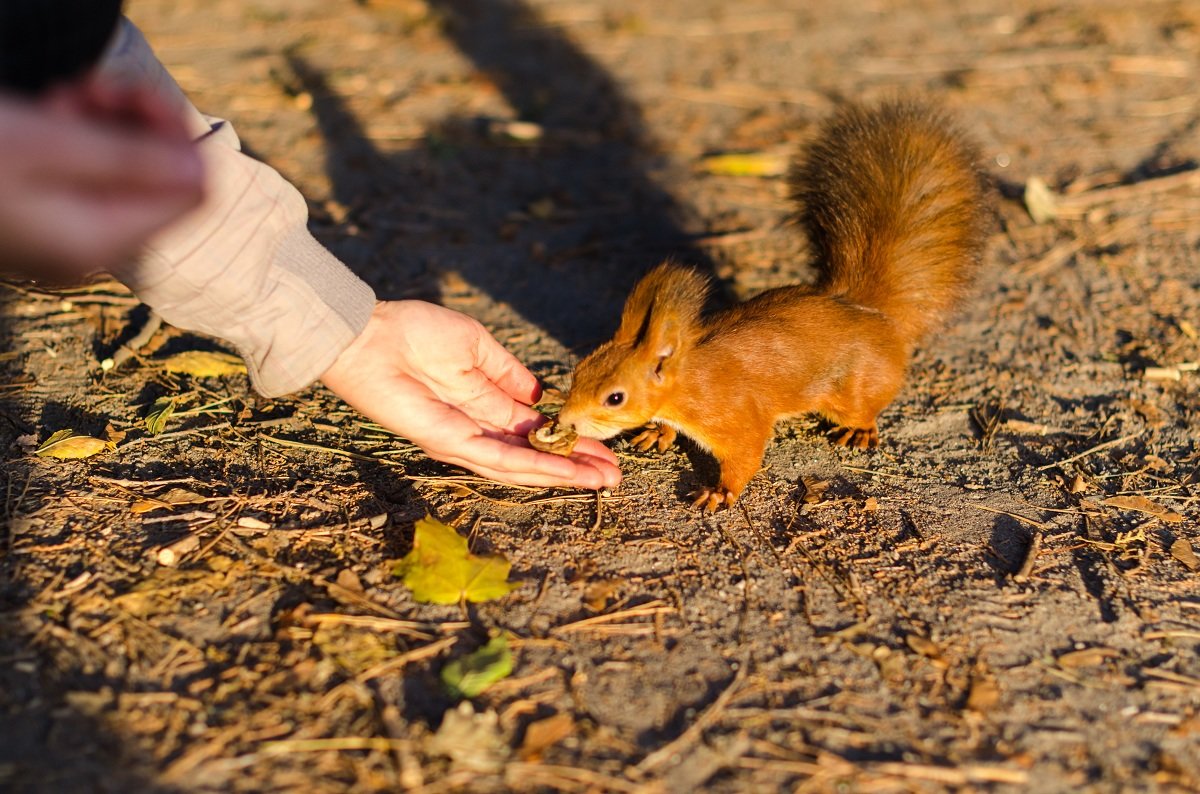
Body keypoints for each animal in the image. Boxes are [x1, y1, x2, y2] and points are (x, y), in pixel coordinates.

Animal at [556, 99, 988, 513]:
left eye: (615, 398)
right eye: (579, 371)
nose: (565, 420)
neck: (690, 380)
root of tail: (866, 310)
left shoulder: (736, 417)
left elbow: (746, 453)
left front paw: (720, 492)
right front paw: (658, 431)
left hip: (852, 393)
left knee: (865, 408)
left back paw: (860, 429)